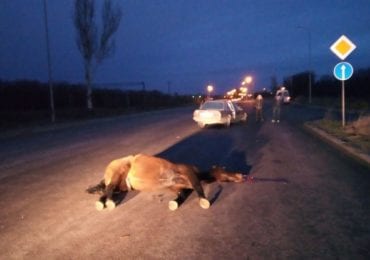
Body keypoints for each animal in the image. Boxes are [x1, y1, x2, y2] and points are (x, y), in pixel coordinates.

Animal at [85, 153, 244, 210]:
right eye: (226, 171)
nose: (242, 176)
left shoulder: (178, 187)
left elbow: (182, 195)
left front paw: (175, 203)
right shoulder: (189, 173)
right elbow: (198, 187)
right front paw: (204, 201)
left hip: (122, 185)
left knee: (108, 190)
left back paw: (104, 201)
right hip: (118, 171)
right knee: (109, 188)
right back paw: (107, 202)